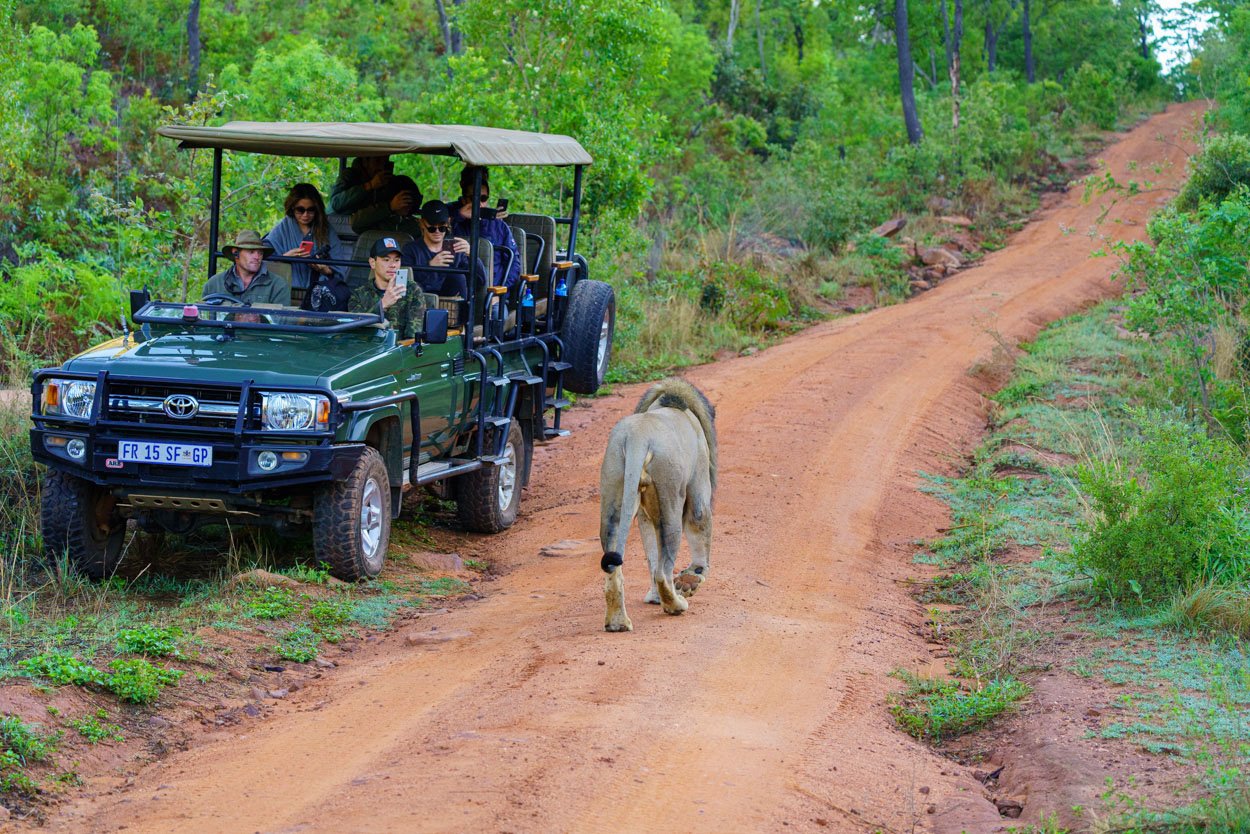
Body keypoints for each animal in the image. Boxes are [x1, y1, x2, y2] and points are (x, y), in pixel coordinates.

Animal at [600, 377, 720, 632]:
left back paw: (618, 622)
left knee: (619, 569)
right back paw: (676, 604)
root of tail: (638, 438)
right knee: (662, 572)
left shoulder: (645, 515)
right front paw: (694, 577)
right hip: (670, 498)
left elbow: (651, 553)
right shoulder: (699, 487)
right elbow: (699, 523)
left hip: (614, 492)